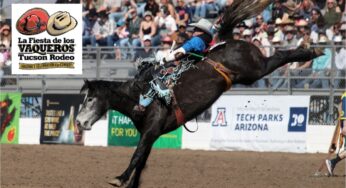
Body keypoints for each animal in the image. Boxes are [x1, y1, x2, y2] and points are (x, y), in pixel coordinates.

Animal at [75, 0, 322, 187]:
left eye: (89, 99)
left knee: (280, 56)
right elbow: (142, 162)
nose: (78, 122)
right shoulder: (151, 134)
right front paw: (130, 183)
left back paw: (311, 51)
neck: (140, 95)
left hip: (256, 69)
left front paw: (119, 178)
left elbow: (136, 156)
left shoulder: (150, 131)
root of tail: (228, 40)